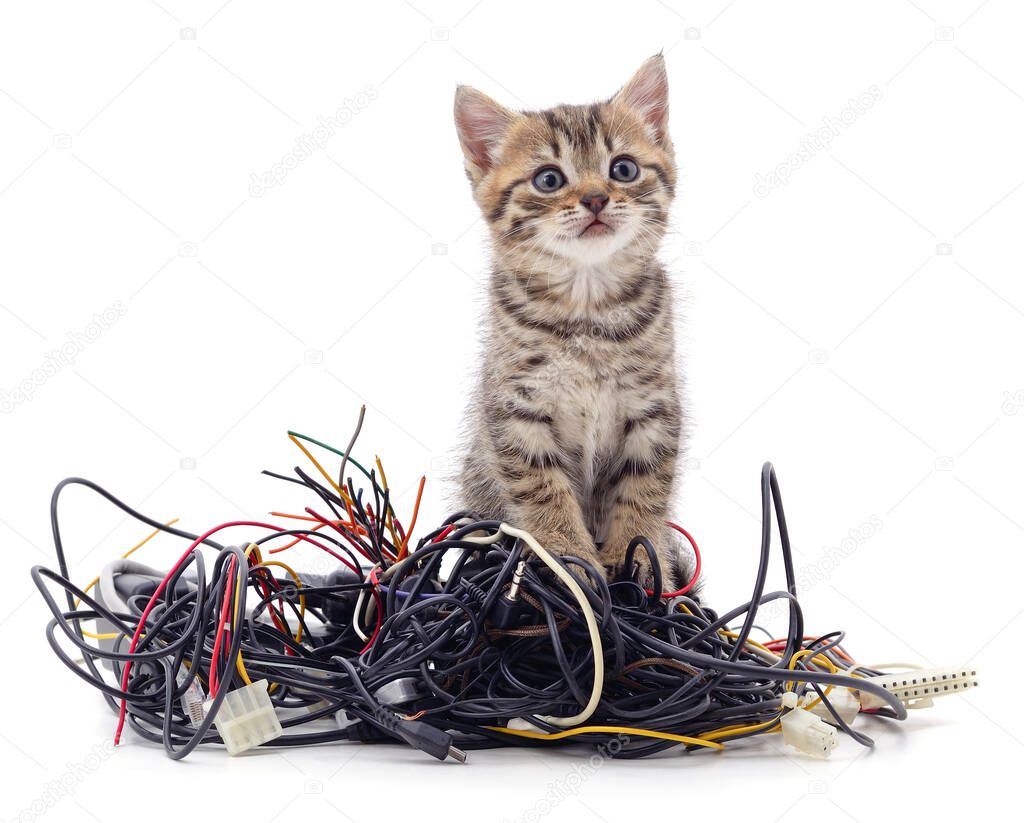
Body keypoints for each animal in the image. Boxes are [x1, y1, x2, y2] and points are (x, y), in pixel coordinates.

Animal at [454, 54, 688, 589]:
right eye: (548, 179)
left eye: (623, 169)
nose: (597, 198)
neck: (588, 311)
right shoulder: (515, 410)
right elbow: (542, 489)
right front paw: (568, 558)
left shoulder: (654, 408)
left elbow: (645, 491)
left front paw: (640, 567)